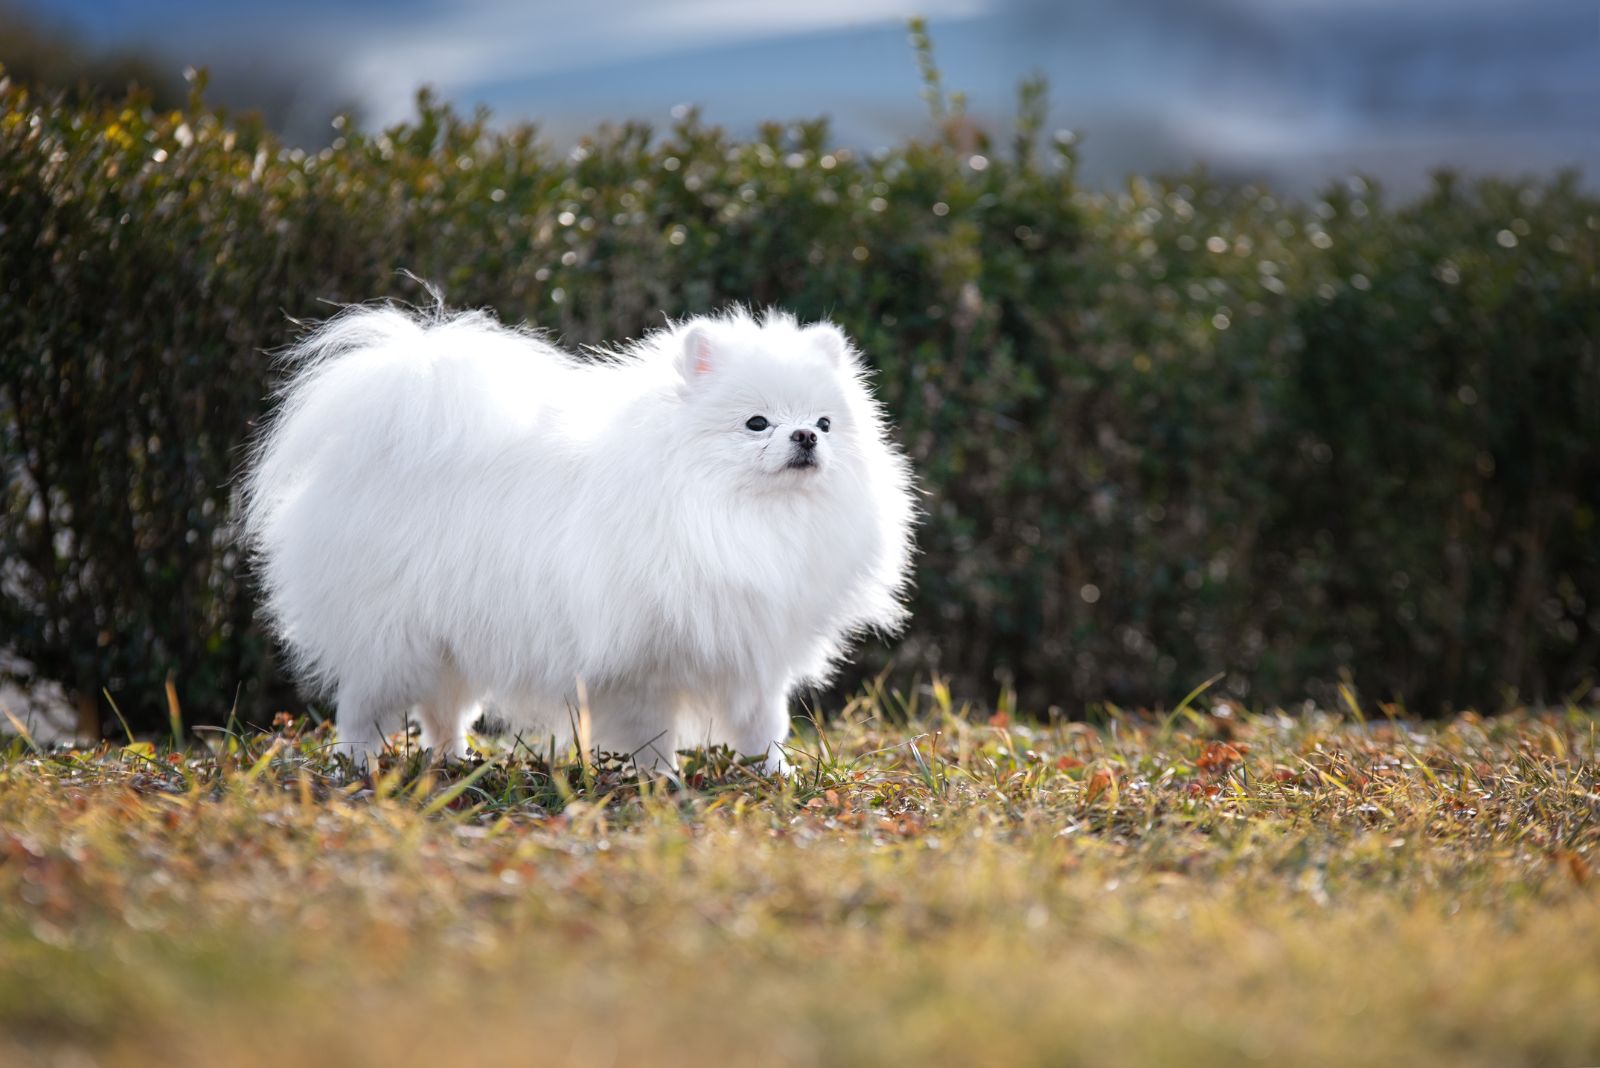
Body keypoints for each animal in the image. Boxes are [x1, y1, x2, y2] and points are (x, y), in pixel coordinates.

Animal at [236, 295, 915, 770]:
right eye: (756, 423)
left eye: (824, 422)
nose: (805, 437)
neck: (733, 514)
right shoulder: (642, 664)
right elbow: (650, 734)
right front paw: (660, 784)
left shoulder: (752, 654)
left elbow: (761, 727)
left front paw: (775, 777)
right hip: (392, 640)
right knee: (362, 711)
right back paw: (354, 768)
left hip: (452, 638)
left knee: (442, 712)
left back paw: (456, 764)